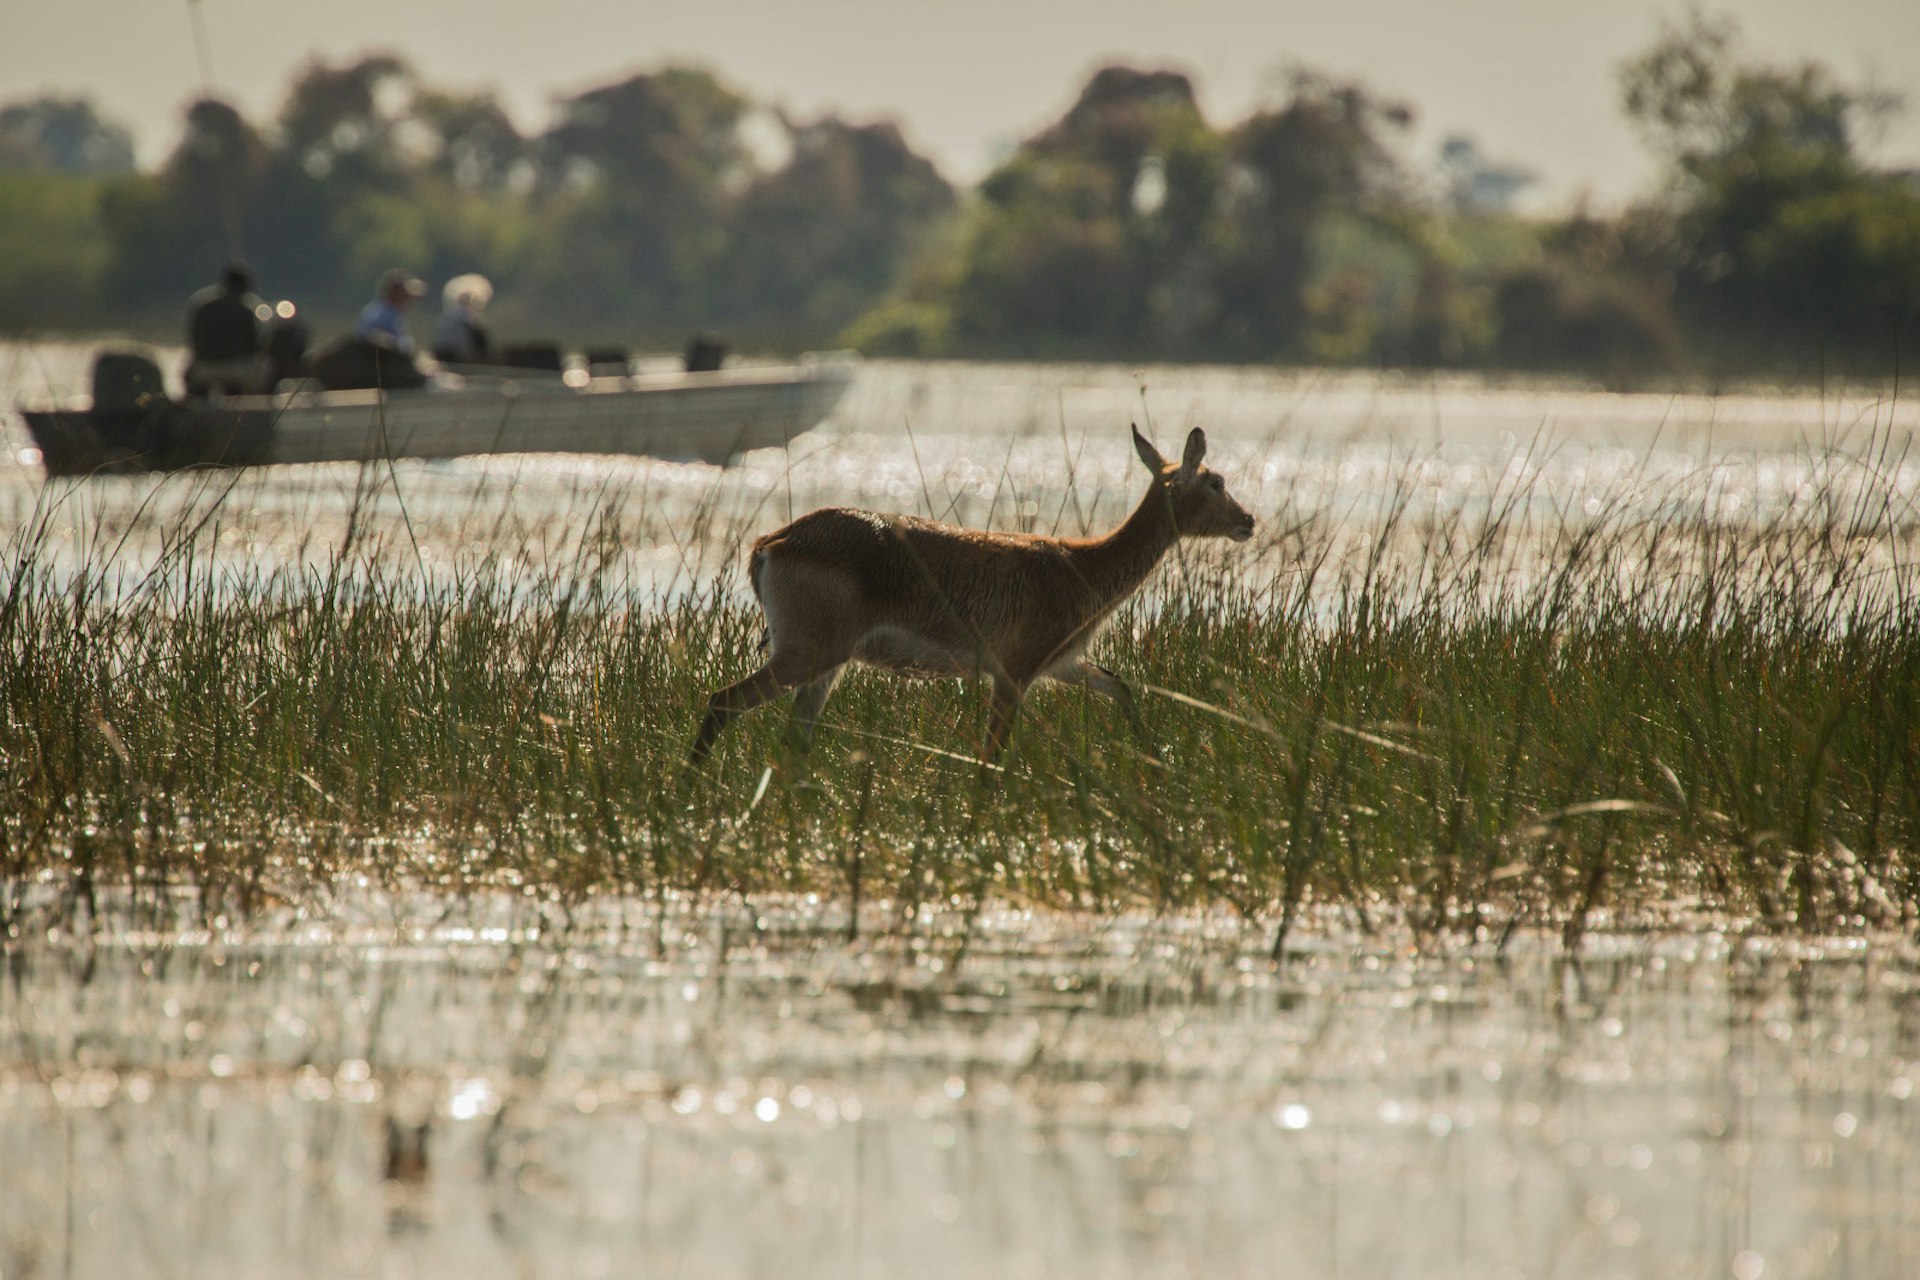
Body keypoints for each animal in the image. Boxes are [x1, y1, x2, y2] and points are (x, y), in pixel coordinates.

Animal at [691, 426, 1259, 767]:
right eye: (1215, 481)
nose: (1248, 520)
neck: (1082, 565)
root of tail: (771, 543)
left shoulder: (1061, 663)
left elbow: (1123, 688)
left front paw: (1154, 763)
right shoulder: (1013, 670)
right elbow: (991, 753)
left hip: (826, 665)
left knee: (794, 741)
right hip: (807, 654)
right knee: (722, 702)